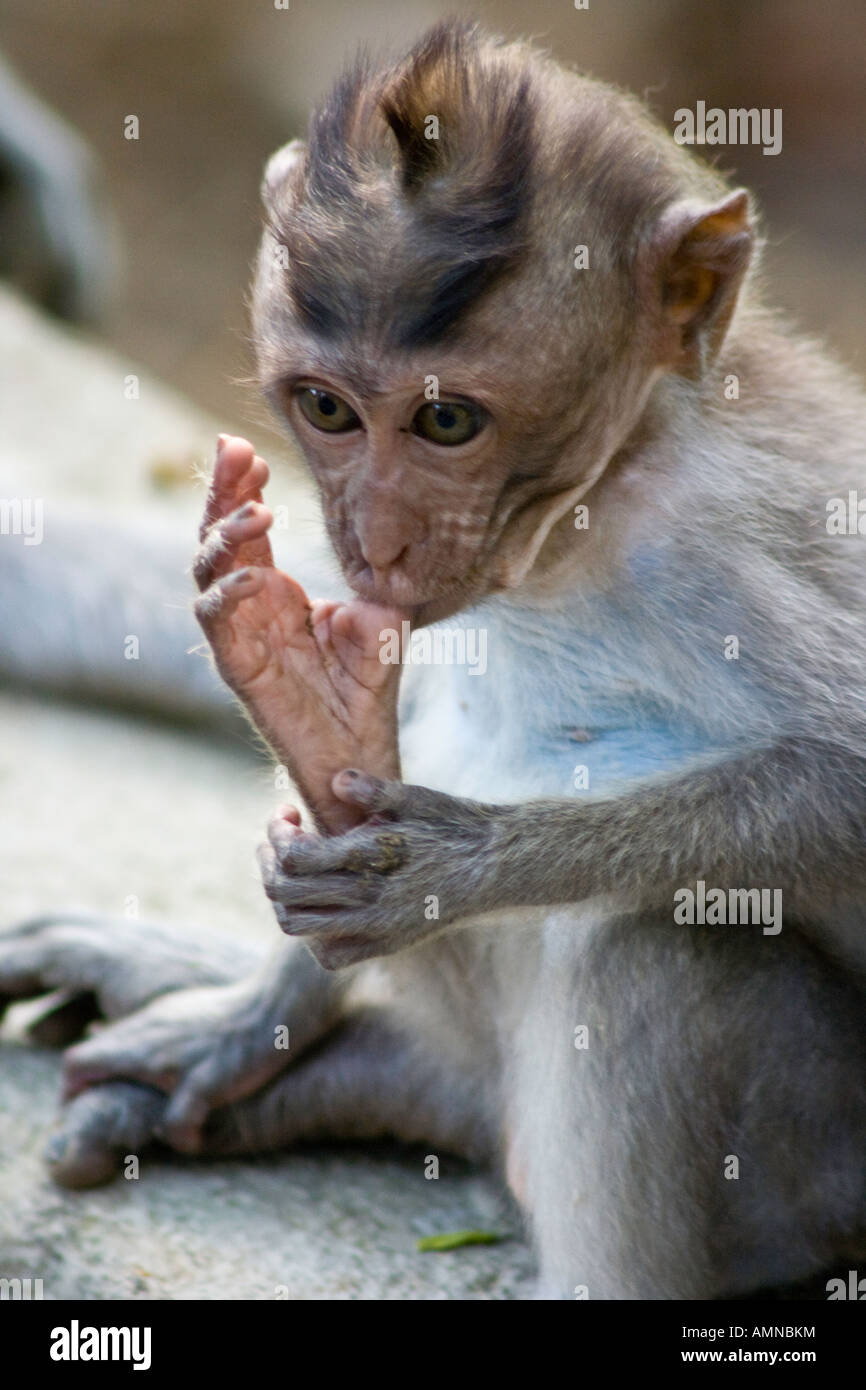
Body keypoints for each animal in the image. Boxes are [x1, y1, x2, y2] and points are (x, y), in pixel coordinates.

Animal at [3, 19, 866, 1299]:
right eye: (325, 409)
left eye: (447, 422)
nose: (375, 536)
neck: (587, 507)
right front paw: (256, 998)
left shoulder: (736, 532)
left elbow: (843, 783)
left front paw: (455, 864)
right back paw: (326, 1057)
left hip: (813, 1161)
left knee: (653, 950)